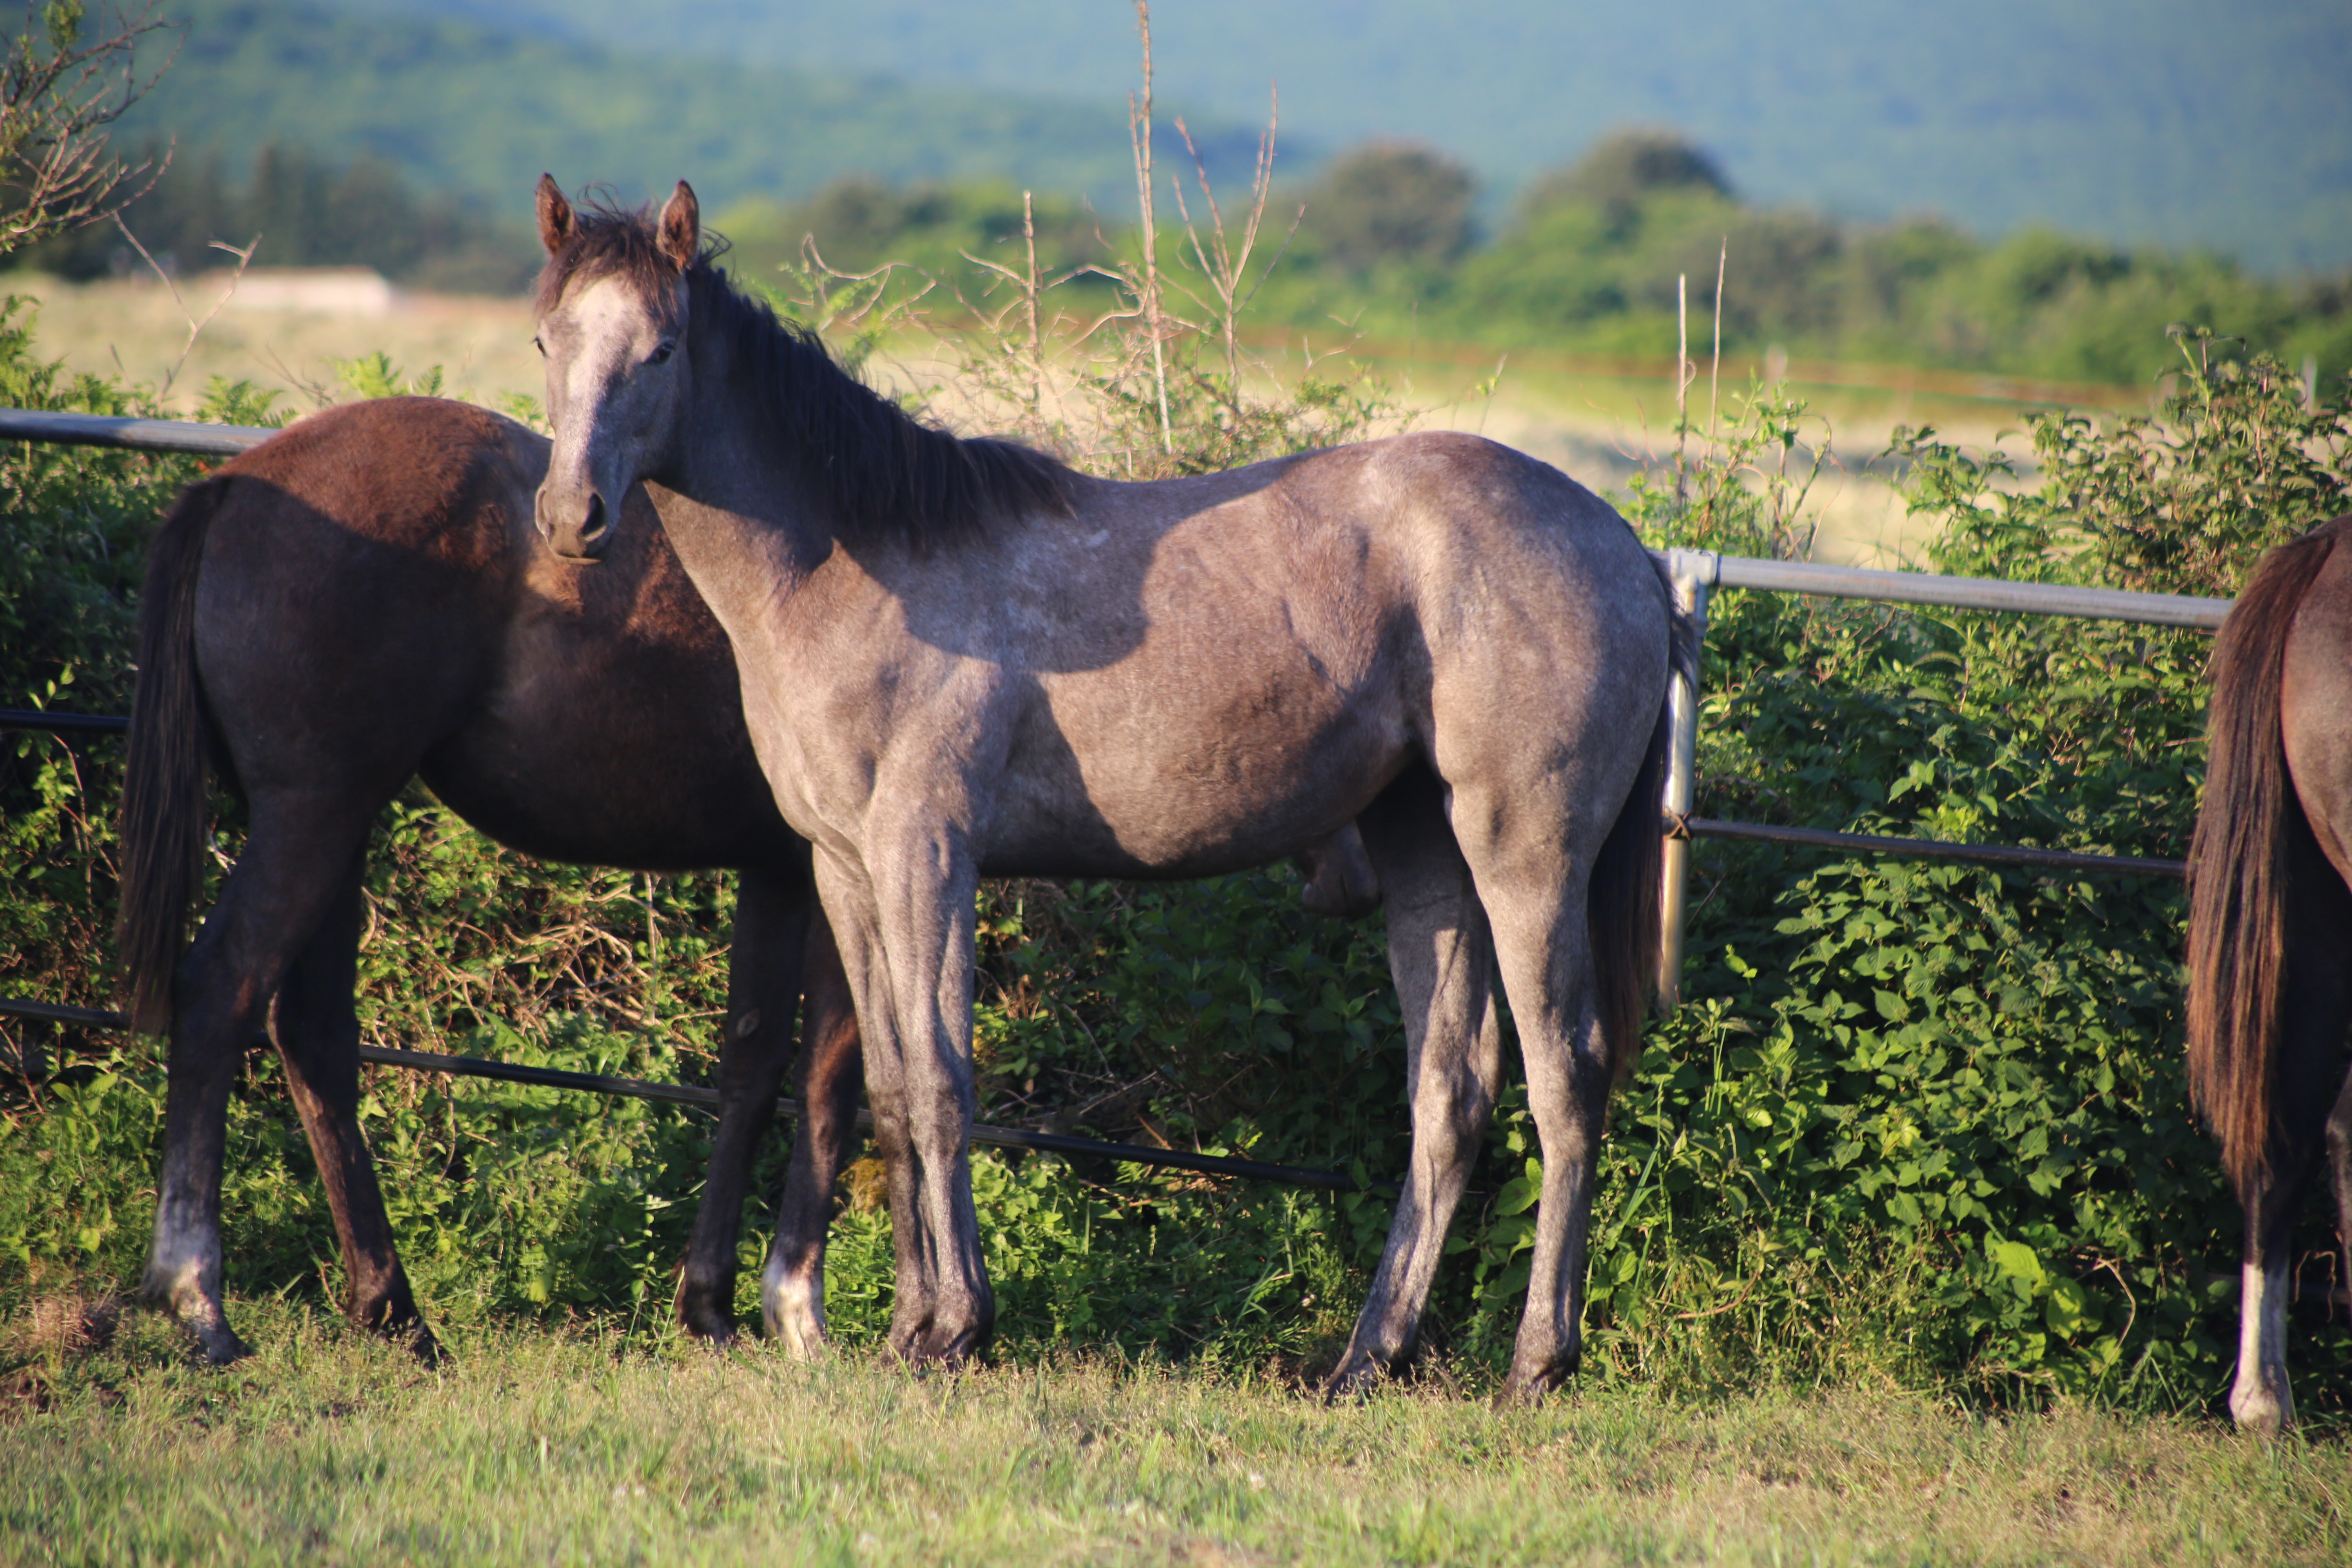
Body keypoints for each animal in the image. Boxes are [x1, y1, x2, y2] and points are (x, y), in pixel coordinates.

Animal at [527, 181, 1684, 1401]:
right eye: (548, 339)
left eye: (660, 349)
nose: (572, 518)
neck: (855, 566)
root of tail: (1627, 550)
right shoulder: (842, 867)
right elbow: (886, 1090)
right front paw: (907, 1328)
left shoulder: (926, 852)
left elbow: (941, 1083)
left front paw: (956, 1327)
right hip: (1429, 853)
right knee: (1449, 1093)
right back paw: (1365, 1360)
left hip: (1527, 854)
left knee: (1565, 1078)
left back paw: (1534, 1362)